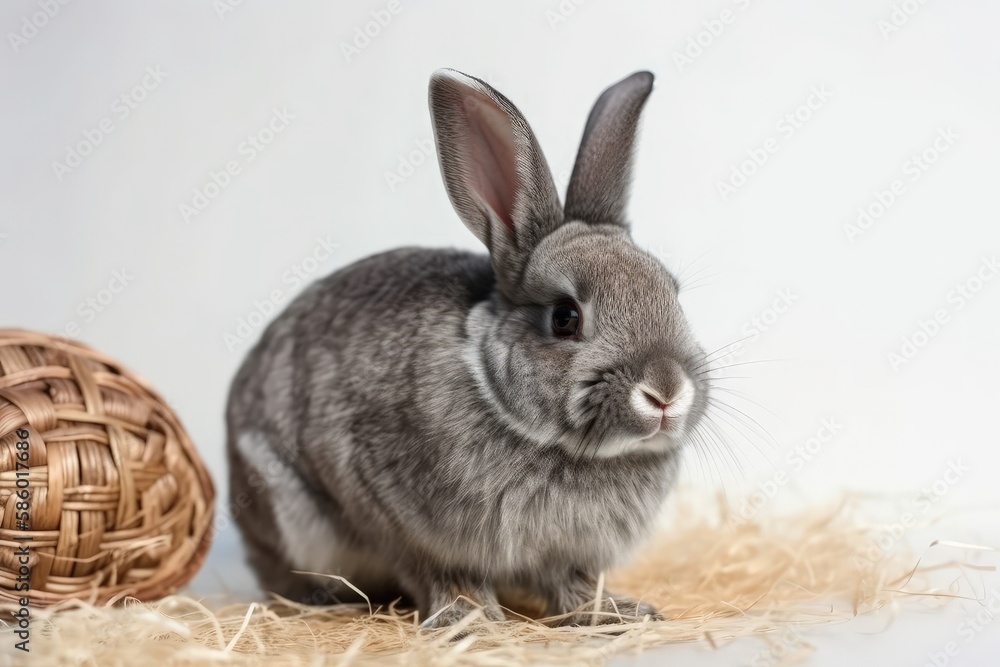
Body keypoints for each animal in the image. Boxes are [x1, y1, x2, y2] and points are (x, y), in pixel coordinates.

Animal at [226, 68, 710, 628]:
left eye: (672, 293)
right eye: (565, 317)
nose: (666, 391)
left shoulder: (566, 554)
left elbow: (572, 583)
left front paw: (616, 612)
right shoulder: (400, 516)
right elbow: (442, 572)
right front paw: (468, 619)